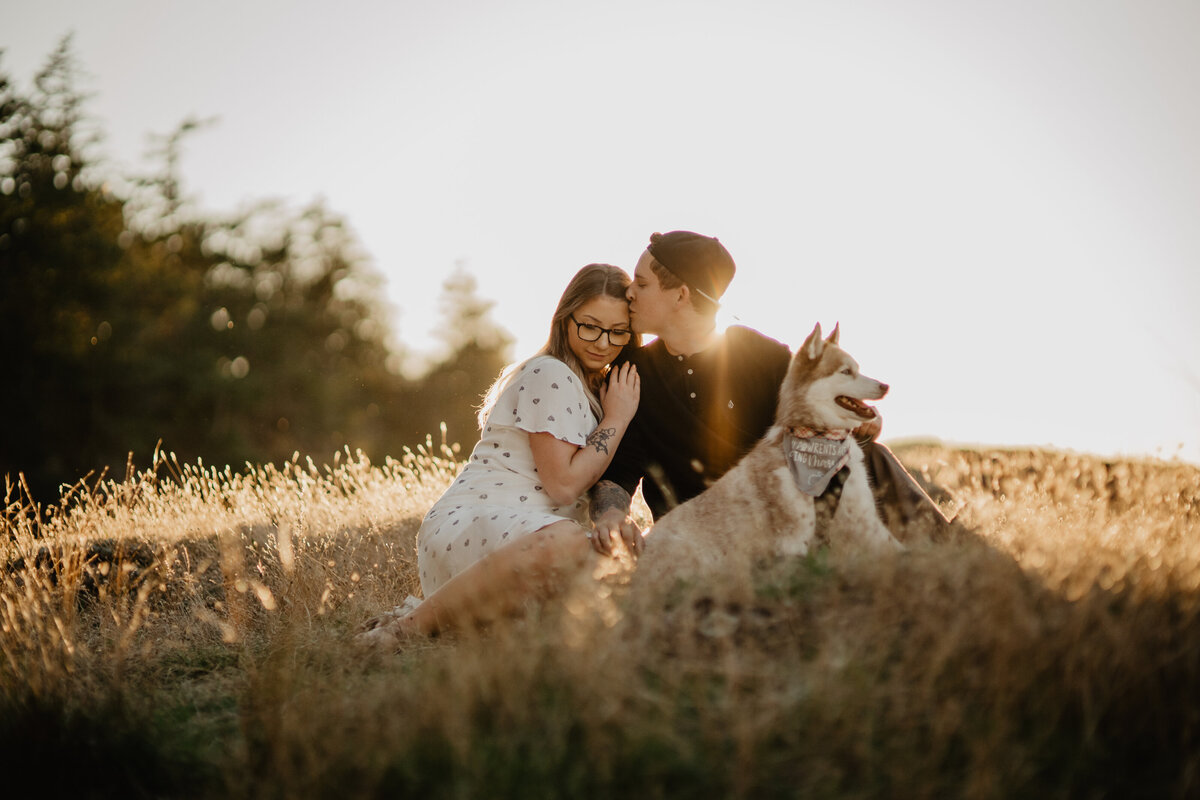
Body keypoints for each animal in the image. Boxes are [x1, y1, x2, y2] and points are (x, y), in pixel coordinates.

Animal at [643, 321, 897, 575]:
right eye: (845, 371)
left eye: (858, 369)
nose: (885, 386)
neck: (821, 437)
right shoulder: (795, 541)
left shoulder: (865, 521)